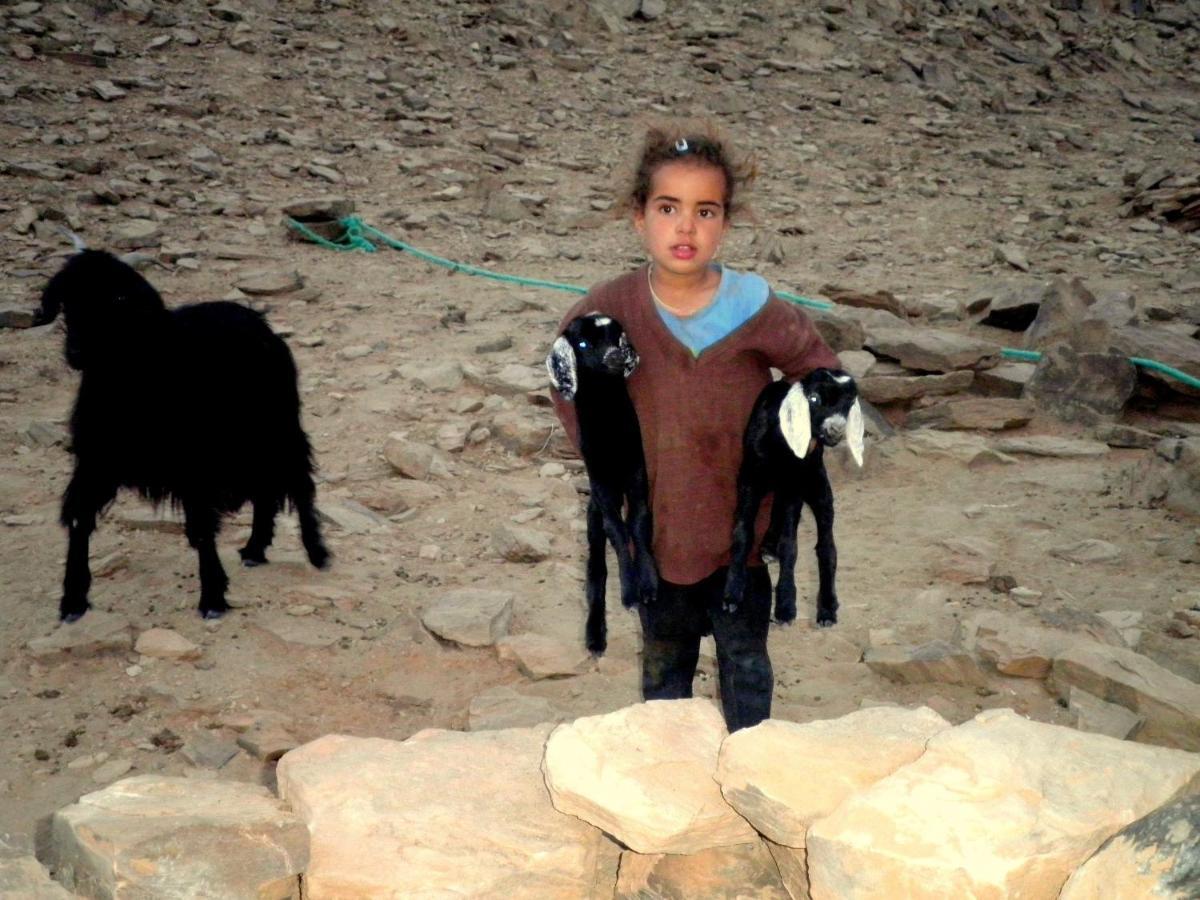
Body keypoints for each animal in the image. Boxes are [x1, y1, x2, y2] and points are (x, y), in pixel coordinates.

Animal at [37, 250, 328, 624]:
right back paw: (254, 548)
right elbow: (78, 518)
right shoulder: (96, 462)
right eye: (67, 301)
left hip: (276, 426)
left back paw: (316, 552)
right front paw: (73, 600)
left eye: (117, 300)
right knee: (265, 490)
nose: (76, 352)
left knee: (298, 481)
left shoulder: (193, 464)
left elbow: (202, 528)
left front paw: (213, 598)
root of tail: (258, 322)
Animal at [547, 314, 657, 657]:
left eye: (616, 336)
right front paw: (630, 591)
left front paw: (649, 584)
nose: (615, 356)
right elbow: (619, 533)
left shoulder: (638, 476)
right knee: (596, 570)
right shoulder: (603, 490)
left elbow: (638, 524)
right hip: (593, 515)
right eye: (582, 343)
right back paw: (595, 636)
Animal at [720, 369, 864, 628]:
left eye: (849, 403)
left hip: (818, 486)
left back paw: (827, 608)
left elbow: (790, 545)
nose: (835, 430)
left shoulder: (795, 485)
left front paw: (785, 605)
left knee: (826, 546)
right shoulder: (749, 480)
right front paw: (732, 594)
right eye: (814, 398)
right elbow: (742, 533)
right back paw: (768, 544)